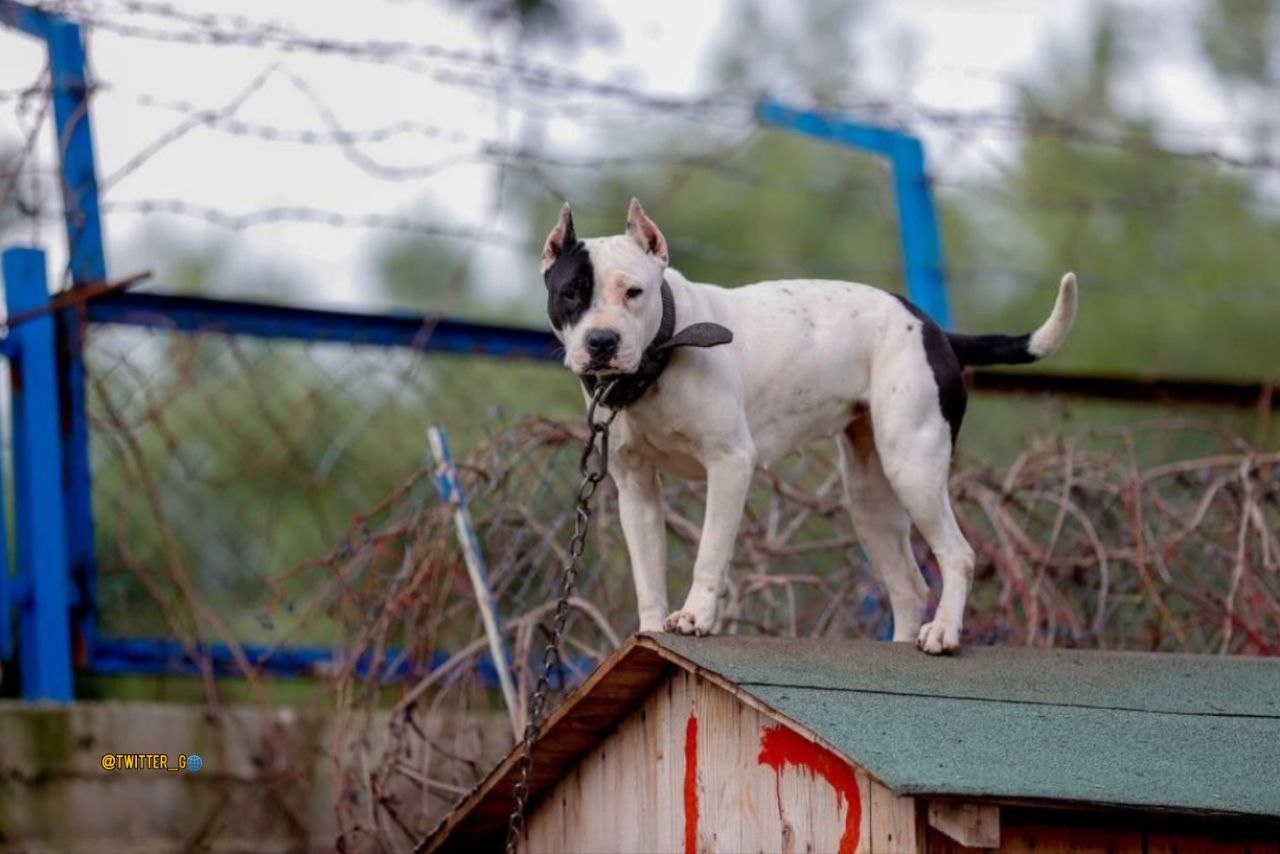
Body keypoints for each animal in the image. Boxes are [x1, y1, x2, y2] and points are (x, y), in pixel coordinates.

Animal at [535, 201, 1075, 655]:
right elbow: (647, 571)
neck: (662, 351)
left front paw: (695, 617)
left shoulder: (729, 465)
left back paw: (942, 633)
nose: (602, 341)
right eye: (570, 294)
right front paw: (648, 633)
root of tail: (930, 327)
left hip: (913, 467)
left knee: (958, 554)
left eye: (634, 293)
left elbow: (709, 552)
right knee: (908, 584)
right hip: (870, 497)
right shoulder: (636, 487)